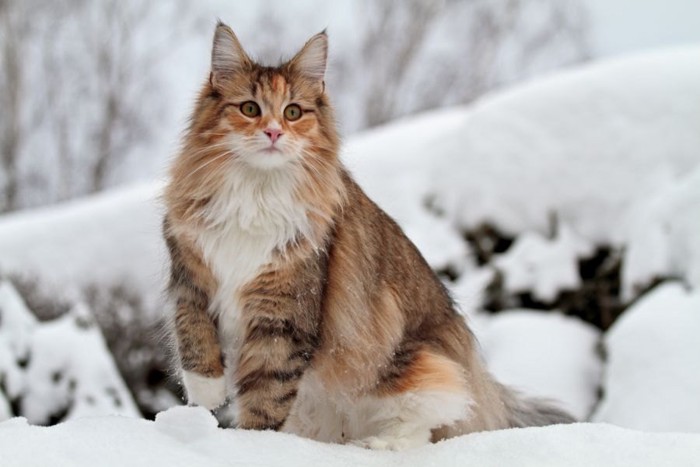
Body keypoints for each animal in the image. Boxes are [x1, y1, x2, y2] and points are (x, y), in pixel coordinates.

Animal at [163, 21, 576, 450]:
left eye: (293, 112)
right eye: (250, 109)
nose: (274, 132)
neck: (255, 193)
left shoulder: (284, 314)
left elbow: (267, 396)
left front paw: (250, 445)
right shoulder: (190, 279)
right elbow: (194, 340)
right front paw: (207, 399)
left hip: (413, 365)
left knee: (433, 417)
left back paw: (374, 444)